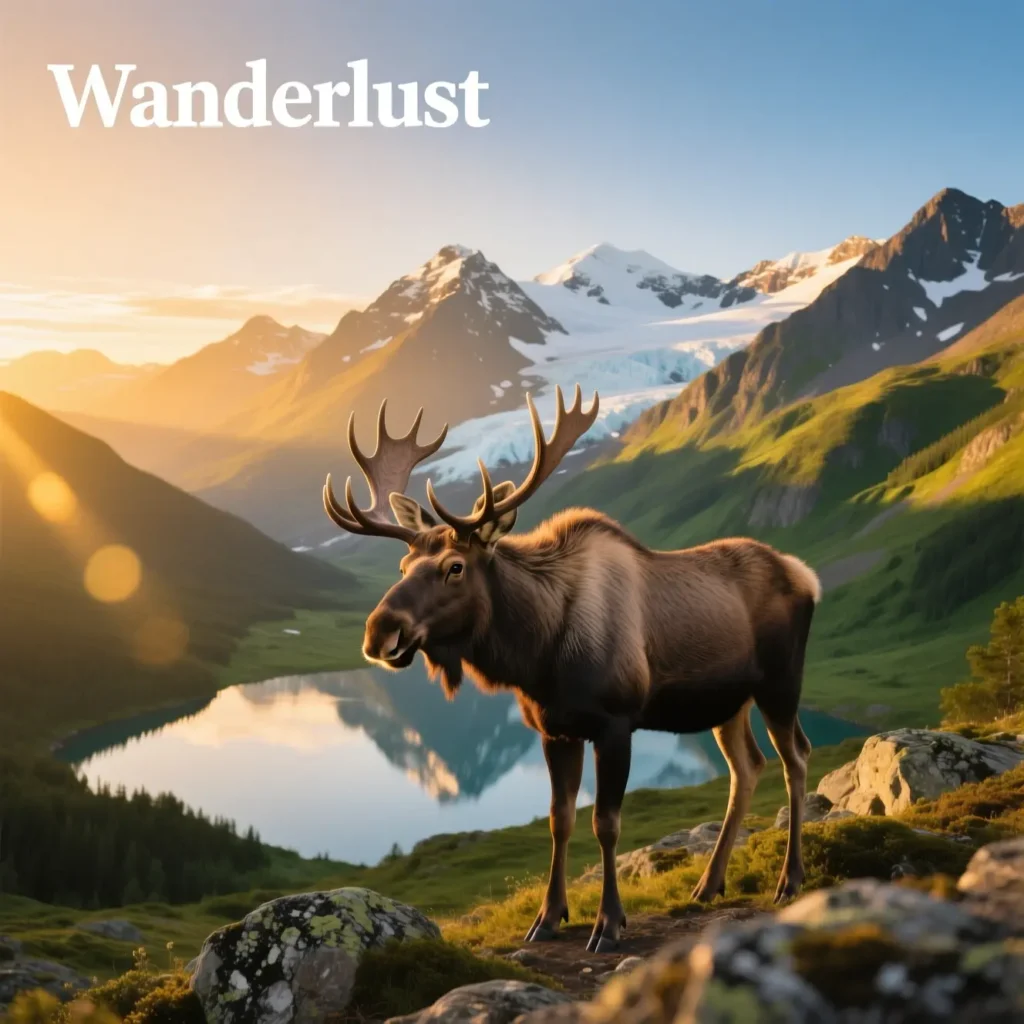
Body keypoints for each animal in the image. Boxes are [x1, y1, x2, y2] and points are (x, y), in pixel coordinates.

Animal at [323, 385, 820, 954]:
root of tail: (807, 576)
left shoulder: (616, 722)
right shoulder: (555, 728)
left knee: (796, 758)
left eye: (455, 567)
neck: (538, 652)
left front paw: (609, 923)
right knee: (747, 767)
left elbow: (606, 822)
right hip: (727, 703)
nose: (379, 633)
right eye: (403, 566)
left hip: (781, 684)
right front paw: (548, 917)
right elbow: (560, 820)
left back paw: (790, 879)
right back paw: (709, 883)